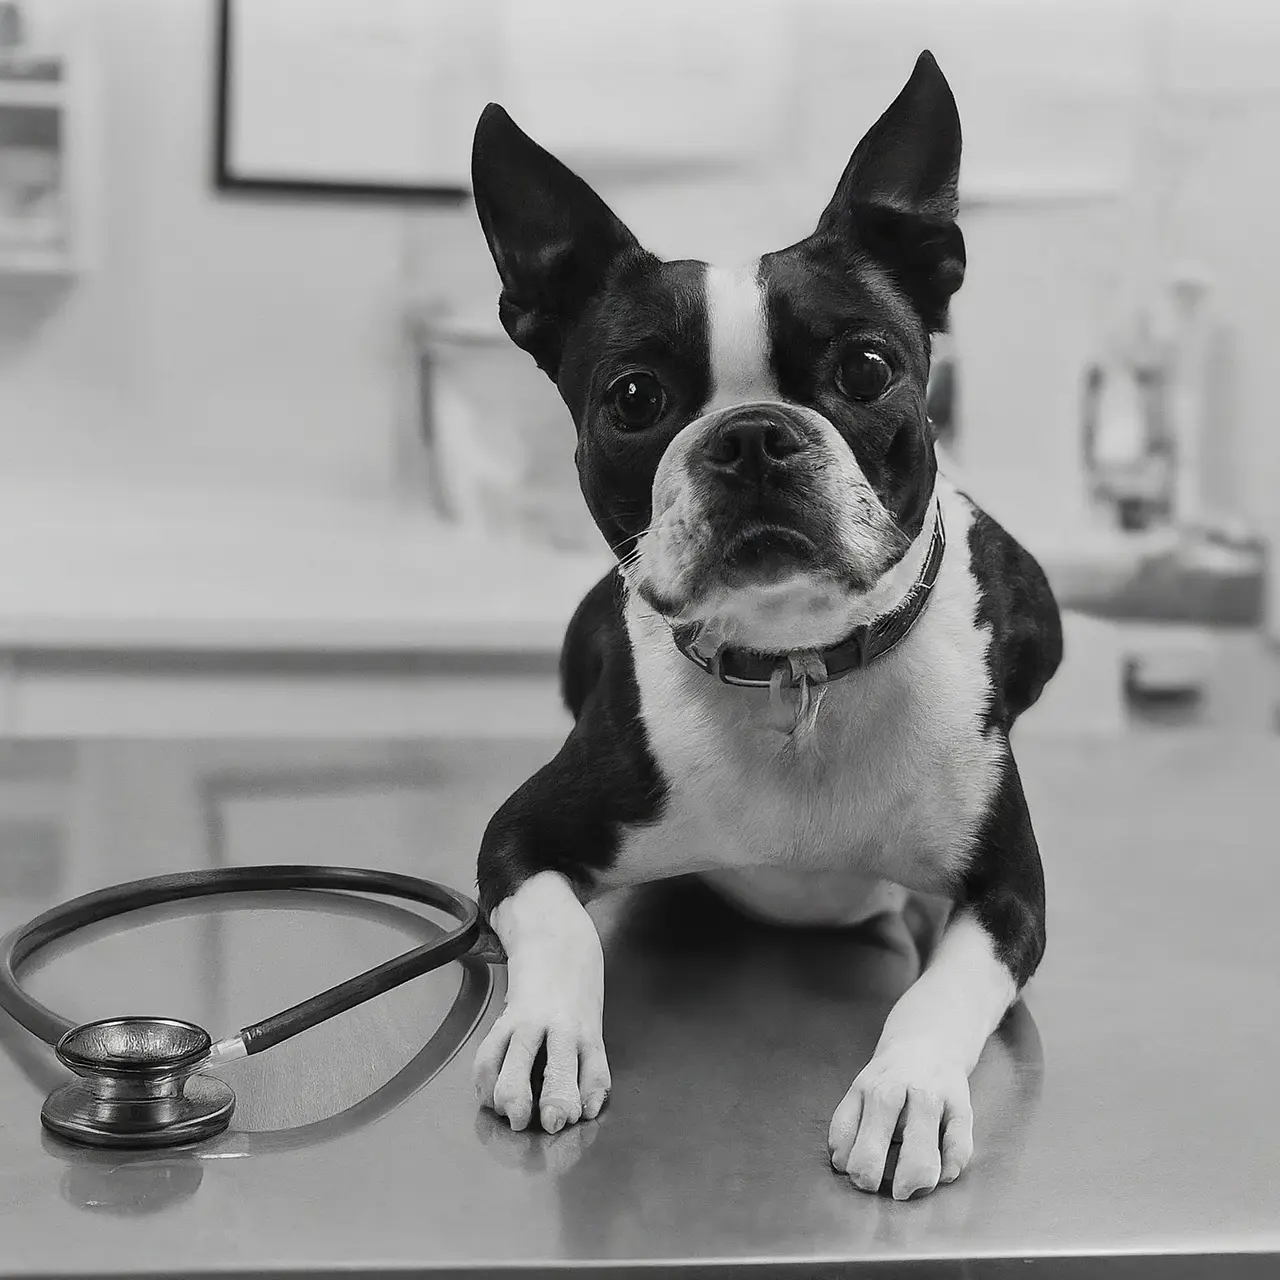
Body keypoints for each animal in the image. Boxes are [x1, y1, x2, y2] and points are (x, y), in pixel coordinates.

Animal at [468, 55, 1059, 1198]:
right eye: (634, 397)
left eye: (866, 369)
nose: (748, 437)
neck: (796, 668)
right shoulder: (517, 834)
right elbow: (560, 930)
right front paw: (545, 1032)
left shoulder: (1010, 895)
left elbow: (944, 988)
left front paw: (906, 1093)